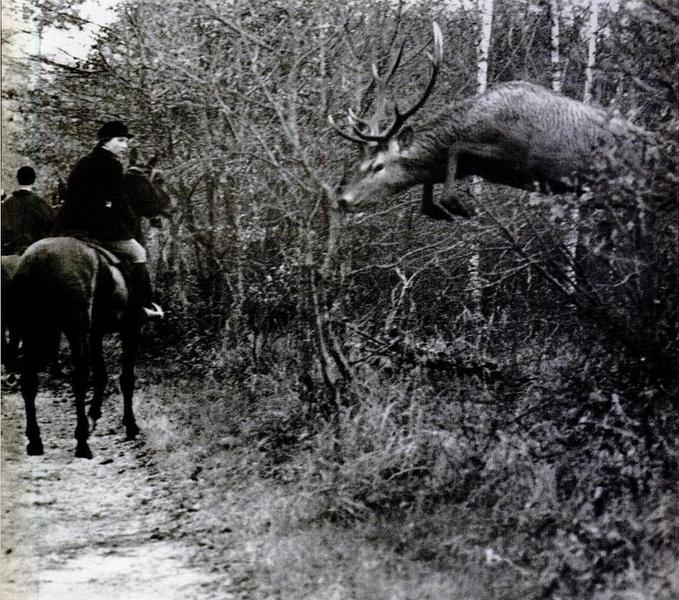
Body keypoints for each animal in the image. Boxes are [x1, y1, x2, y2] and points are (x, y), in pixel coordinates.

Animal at [11, 157, 170, 458]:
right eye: (155, 180)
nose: (167, 206)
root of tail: (38, 261)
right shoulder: (131, 329)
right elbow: (124, 378)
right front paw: (130, 426)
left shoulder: (96, 332)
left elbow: (102, 374)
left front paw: (95, 413)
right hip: (73, 330)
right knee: (78, 379)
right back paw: (81, 441)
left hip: (34, 328)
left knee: (29, 379)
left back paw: (35, 440)